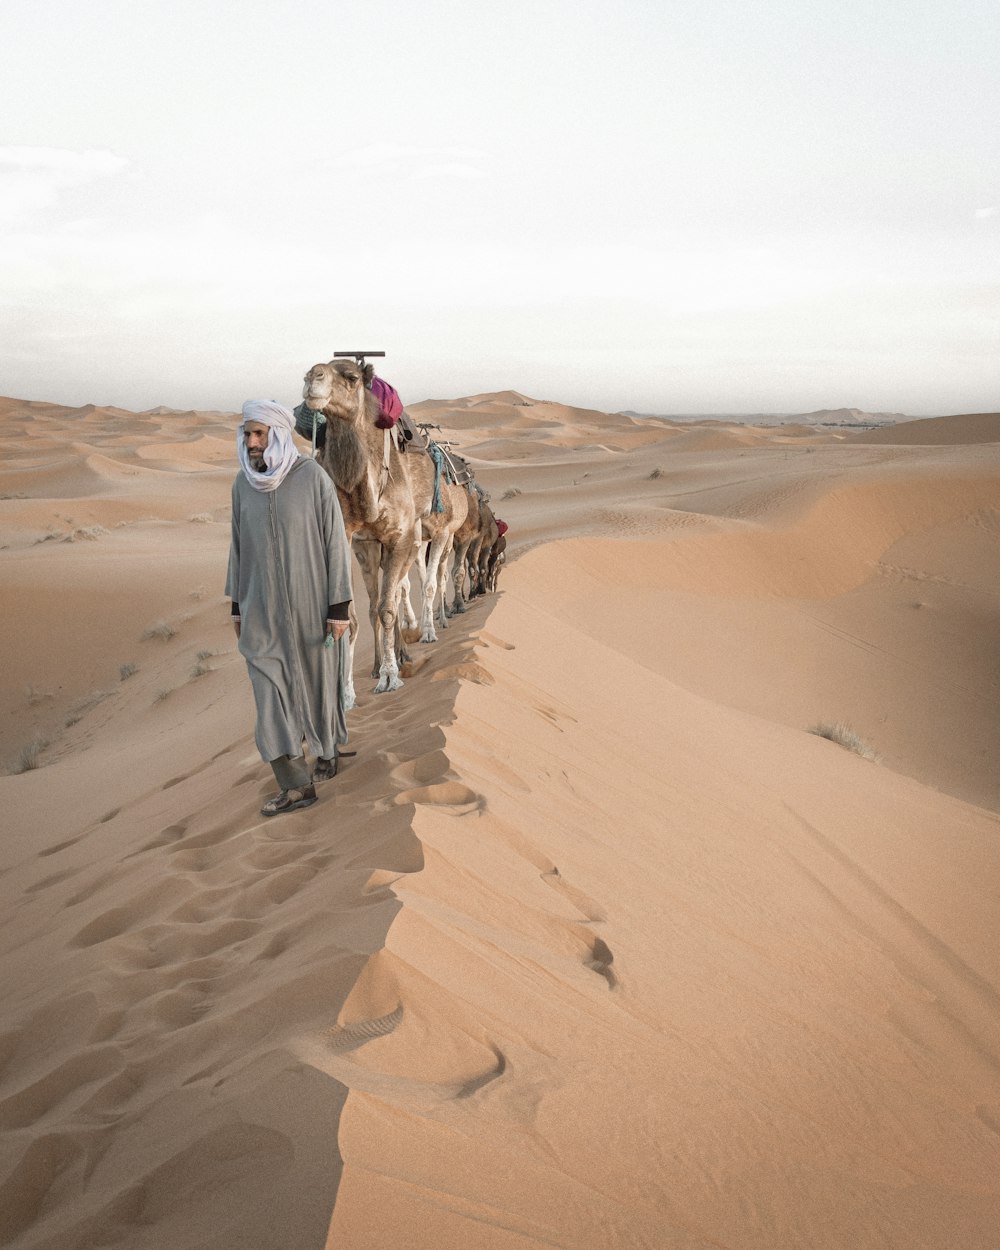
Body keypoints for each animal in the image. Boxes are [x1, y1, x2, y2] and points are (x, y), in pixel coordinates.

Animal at [298, 360, 467, 695]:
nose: (313, 377)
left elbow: (394, 604)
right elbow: (354, 615)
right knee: (380, 600)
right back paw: (385, 660)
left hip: (421, 540)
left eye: (351, 377)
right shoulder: (355, 540)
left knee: (412, 588)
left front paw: (391, 675)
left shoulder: (405, 538)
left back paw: (413, 643)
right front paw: (347, 691)